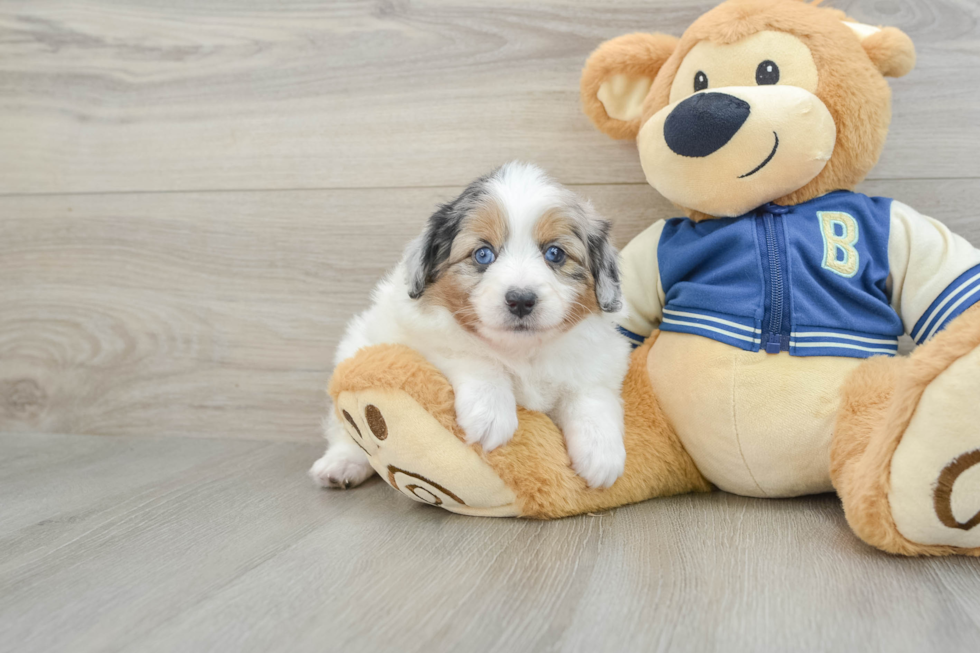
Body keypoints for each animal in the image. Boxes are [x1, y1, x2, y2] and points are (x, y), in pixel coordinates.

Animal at [314, 162, 636, 488]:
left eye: (555, 253)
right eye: (483, 254)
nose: (521, 300)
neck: (523, 352)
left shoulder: (599, 360)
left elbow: (591, 395)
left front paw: (601, 453)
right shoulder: (425, 335)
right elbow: (474, 354)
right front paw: (491, 414)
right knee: (344, 428)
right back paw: (342, 464)